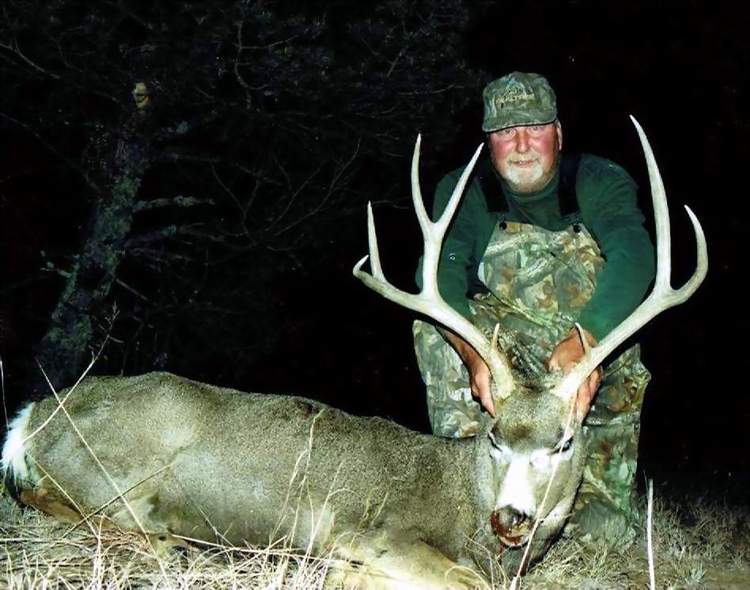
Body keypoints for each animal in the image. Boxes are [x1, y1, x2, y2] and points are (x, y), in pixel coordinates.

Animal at [2, 117, 706, 589]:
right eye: (495, 437)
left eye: (563, 443)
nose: (511, 516)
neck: (464, 505)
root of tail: (32, 421)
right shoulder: (373, 530)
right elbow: (458, 578)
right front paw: (344, 573)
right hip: (113, 472)